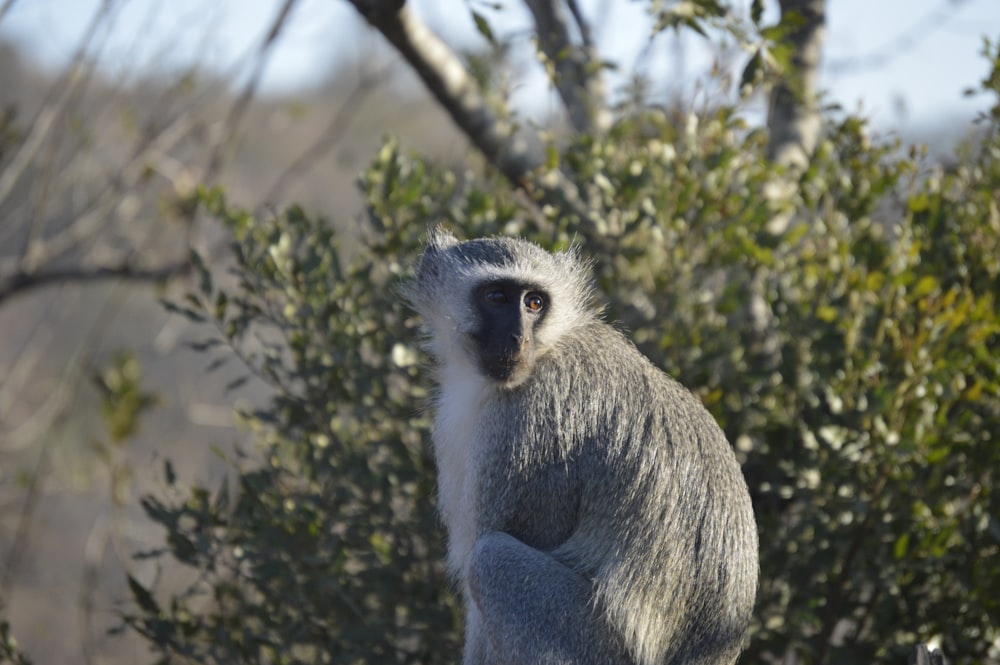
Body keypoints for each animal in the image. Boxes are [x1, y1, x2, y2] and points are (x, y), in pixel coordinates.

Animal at [406, 230, 756, 664]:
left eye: (534, 303)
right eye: (497, 297)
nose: (517, 338)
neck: (548, 348)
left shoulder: (527, 428)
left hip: (593, 646)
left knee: (491, 561)